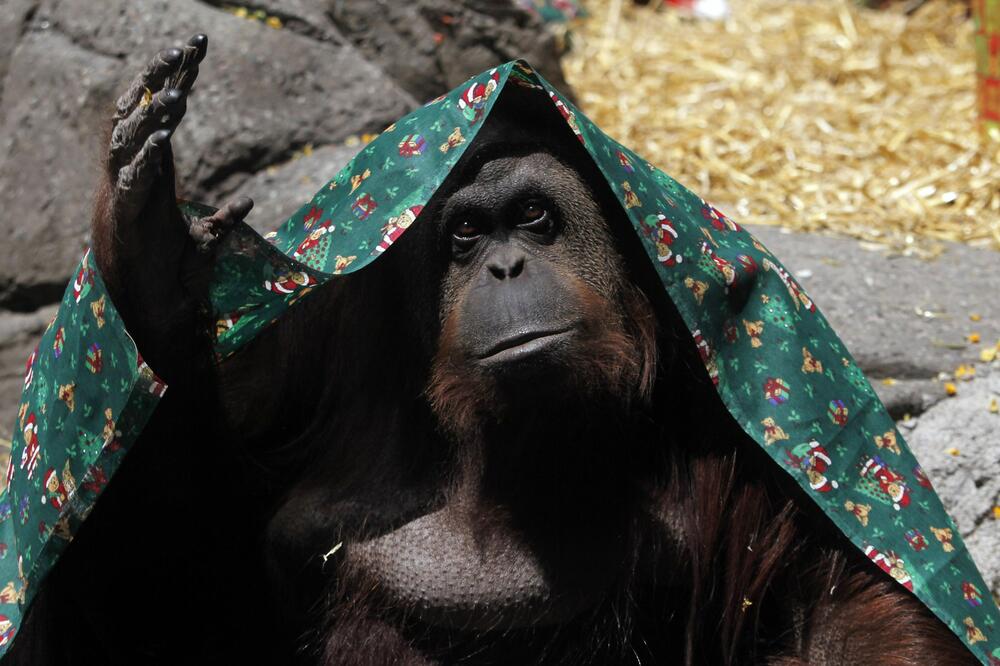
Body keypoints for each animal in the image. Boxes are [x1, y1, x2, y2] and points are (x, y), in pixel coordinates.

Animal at [4, 35, 977, 666]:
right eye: (467, 235)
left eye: (537, 218)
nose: (507, 265)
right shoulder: (305, 356)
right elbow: (166, 562)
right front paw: (151, 257)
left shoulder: (738, 396)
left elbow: (840, 603)